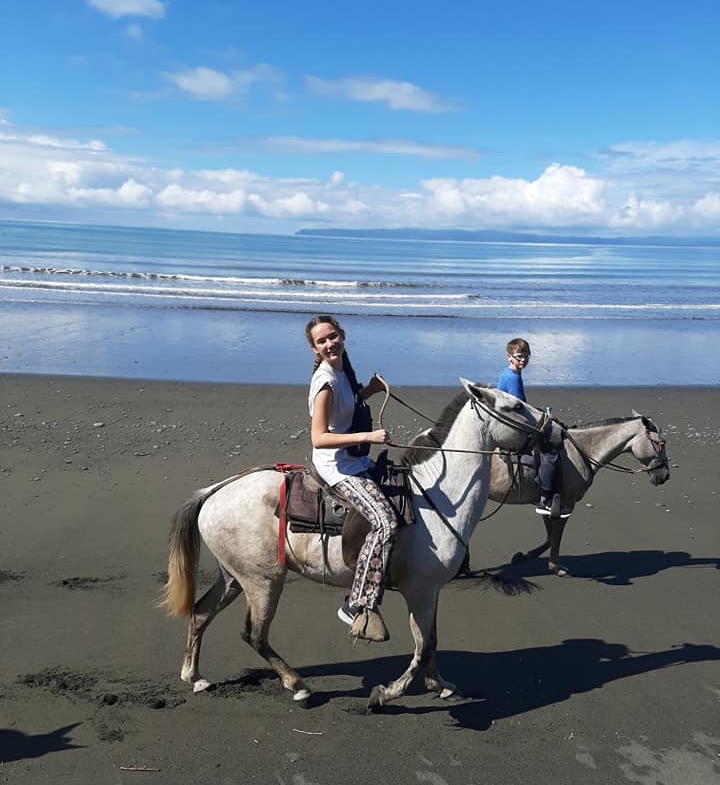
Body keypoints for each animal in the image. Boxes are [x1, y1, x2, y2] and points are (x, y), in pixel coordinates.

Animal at [160, 380, 544, 712]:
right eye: (514, 406)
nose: (550, 426)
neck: (436, 499)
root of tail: (215, 490)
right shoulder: (419, 590)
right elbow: (423, 648)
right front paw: (386, 694)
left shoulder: (429, 591)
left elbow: (430, 641)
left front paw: (442, 685)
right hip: (263, 581)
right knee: (254, 634)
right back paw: (298, 685)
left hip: (234, 577)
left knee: (201, 613)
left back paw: (195, 676)